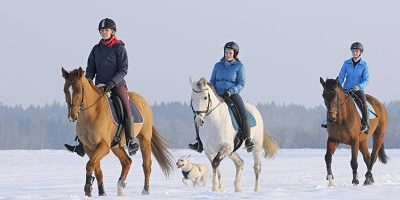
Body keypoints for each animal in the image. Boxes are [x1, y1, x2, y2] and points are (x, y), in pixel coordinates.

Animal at [61, 67, 173, 197]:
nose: (72, 116)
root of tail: (143, 101)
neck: (91, 114)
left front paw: (88, 189)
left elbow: (90, 165)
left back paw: (145, 190)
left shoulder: (103, 146)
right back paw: (121, 185)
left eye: (79, 90)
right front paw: (101, 193)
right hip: (116, 146)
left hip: (144, 139)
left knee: (146, 165)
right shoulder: (89, 147)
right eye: (65, 90)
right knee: (127, 162)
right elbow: (96, 169)